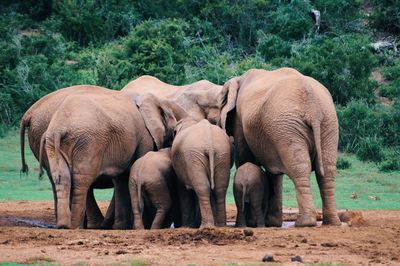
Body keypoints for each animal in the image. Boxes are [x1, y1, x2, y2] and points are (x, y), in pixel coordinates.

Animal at [38, 89, 155, 229]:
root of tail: (59, 129)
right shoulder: (145, 136)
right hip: (88, 142)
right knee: (81, 181)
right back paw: (76, 227)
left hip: (54, 143)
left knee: (63, 178)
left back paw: (64, 226)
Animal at [222, 68, 340, 227]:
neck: (238, 78)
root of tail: (312, 105)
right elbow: (274, 171)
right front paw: (272, 223)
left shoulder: (240, 119)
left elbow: (244, 158)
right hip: (324, 122)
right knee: (326, 169)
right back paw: (331, 223)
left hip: (289, 124)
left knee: (300, 166)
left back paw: (305, 223)